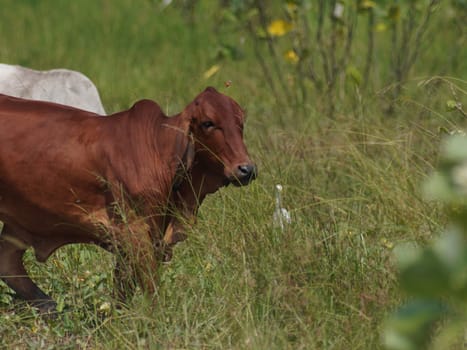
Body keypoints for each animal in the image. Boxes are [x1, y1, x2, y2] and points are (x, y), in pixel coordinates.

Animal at [0, 87, 256, 312]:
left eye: (241, 123)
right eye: (208, 123)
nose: (246, 169)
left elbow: (123, 288)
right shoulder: (135, 231)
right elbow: (150, 286)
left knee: (8, 263)